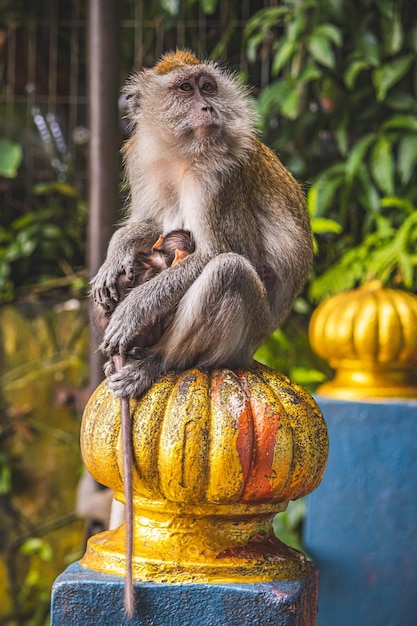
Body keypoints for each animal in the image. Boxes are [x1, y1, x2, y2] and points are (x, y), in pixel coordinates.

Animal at [91, 51, 312, 398]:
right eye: (185, 88)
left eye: (207, 87)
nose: (208, 107)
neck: (181, 152)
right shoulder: (140, 157)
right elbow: (152, 222)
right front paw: (116, 254)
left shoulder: (217, 175)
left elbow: (225, 253)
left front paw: (134, 309)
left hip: (246, 338)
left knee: (229, 271)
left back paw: (156, 361)